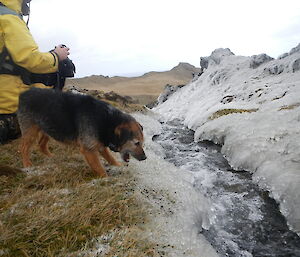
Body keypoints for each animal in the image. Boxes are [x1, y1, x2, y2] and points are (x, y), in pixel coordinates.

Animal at [17, 87, 146, 176]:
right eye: (136, 143)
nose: (145, 158)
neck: (107, 121)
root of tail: (23, 94)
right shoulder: (88, 150)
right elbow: (100, 169)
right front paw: (106, 178)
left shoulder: (99, 144)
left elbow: (110, 158)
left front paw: (118, 166)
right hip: (31, 131)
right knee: (23, 147)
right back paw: (27, 165)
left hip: (48, 128)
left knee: (41, 145)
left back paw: (51, 157)